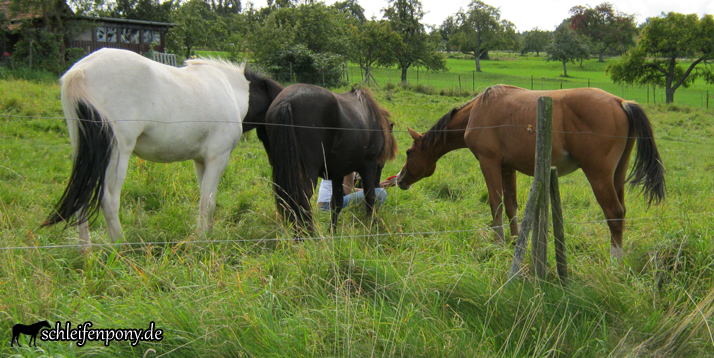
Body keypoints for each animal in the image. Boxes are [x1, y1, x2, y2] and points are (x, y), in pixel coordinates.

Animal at [42, 48, 284, 246]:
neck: (233, 92)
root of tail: (80, 71)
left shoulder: (201, 161)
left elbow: (207, 199)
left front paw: (207, 235)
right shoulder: (218, 158)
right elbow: (208, 203)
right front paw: (202, 240)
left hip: (89, 156)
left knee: (81, 199)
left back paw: (87, 254)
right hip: (116, 155)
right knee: (108, 200)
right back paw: (121, 248)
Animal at [262, 84, 394, 232]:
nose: (380, 184)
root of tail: (286, 101)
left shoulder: (338, 173)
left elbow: (336, 203)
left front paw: (333, 232)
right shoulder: (368, 166)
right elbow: (370, 199)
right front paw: (371, 228)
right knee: (301, 203)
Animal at [398, 84, 664, 258]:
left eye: (409, 152)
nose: (399, 179)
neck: (478, 110)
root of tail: (621, 102)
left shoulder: (489, 162)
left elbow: (496, 203)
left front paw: (498, 243)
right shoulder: (507, 168)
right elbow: (511, 206)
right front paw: (515, 241)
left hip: (598, 176)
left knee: (614, 214)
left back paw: (614, 264)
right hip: (617, 175)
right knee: (622, 213)